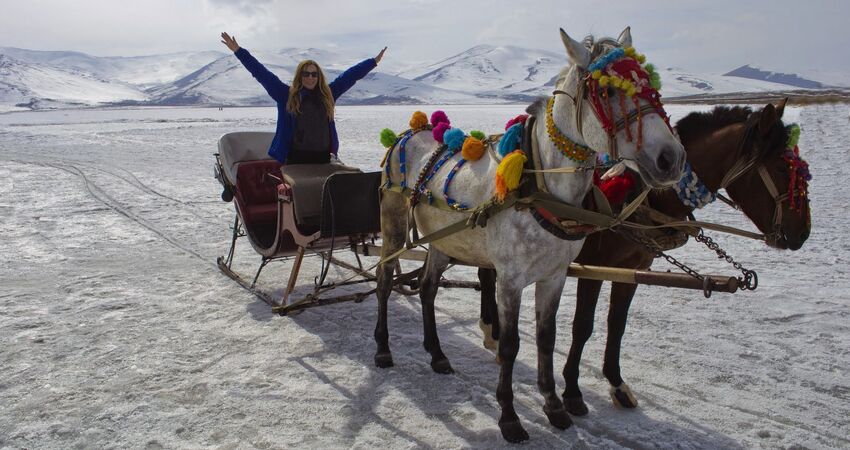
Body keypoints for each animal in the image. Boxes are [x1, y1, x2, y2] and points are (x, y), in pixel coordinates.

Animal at [476, 100, 808, 416]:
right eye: (782, 168)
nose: (802, 234)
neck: (640, 198)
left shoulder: (633, 270)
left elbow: (617, 324)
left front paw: (617, 384)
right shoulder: (594, 268)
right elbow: (583, 326)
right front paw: (572, 391)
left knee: (487, 274)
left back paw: (492, 330)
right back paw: (492, 331)